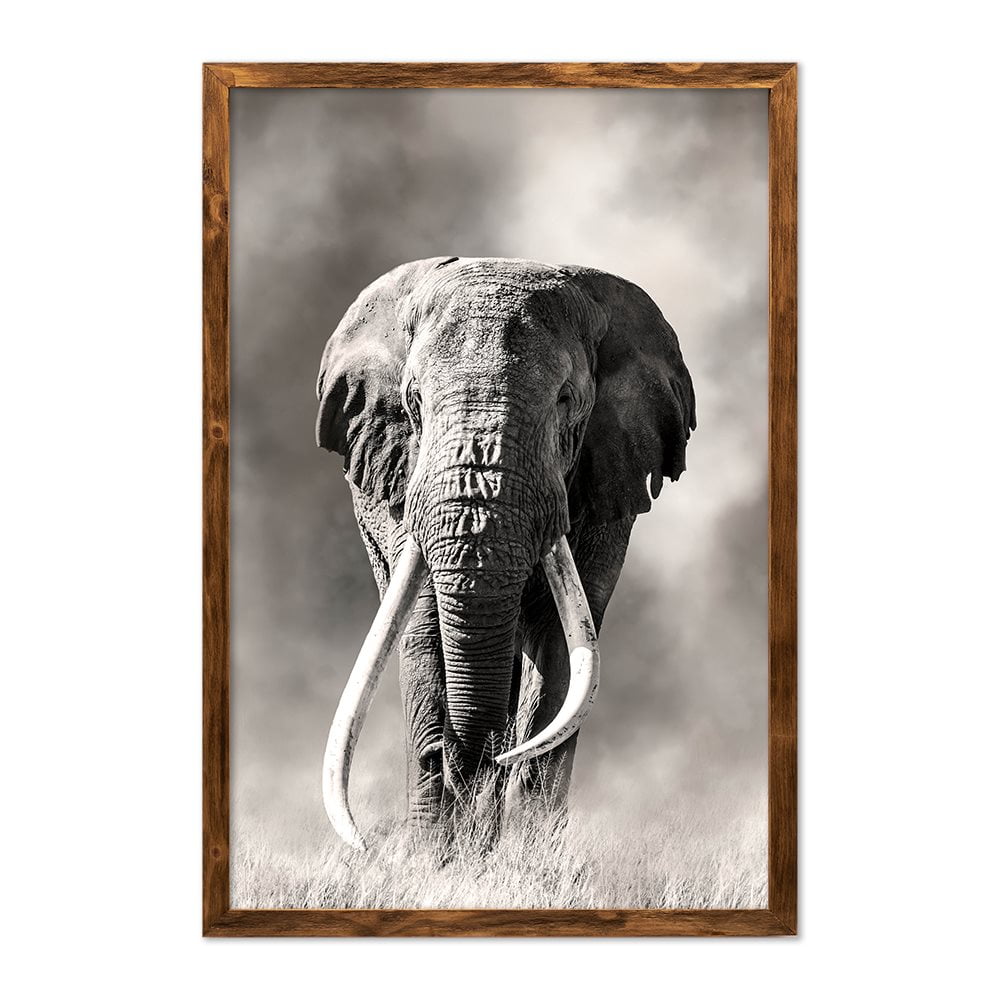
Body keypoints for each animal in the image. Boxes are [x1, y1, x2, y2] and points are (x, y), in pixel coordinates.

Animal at [316, 256, 695, 850]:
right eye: (414, 402)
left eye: (566, 401)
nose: (463, 760)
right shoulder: (401, 478)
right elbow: (423, 627)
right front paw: (433, 853)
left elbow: (564, 645)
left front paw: (526, 851)